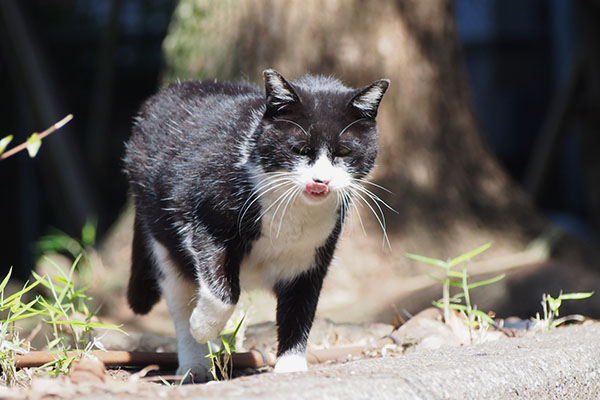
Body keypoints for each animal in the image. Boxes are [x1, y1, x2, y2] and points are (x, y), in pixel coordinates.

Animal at [124, 69, 392, 382]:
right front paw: (202, 327)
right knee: (180, 298)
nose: (321, 181)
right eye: (299, 149)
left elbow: (299, 310)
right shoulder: (206, 222)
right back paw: (195, 362)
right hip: (161, 236)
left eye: (344, 152)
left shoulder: (310, 259)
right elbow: (224, 293)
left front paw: (291, 367)